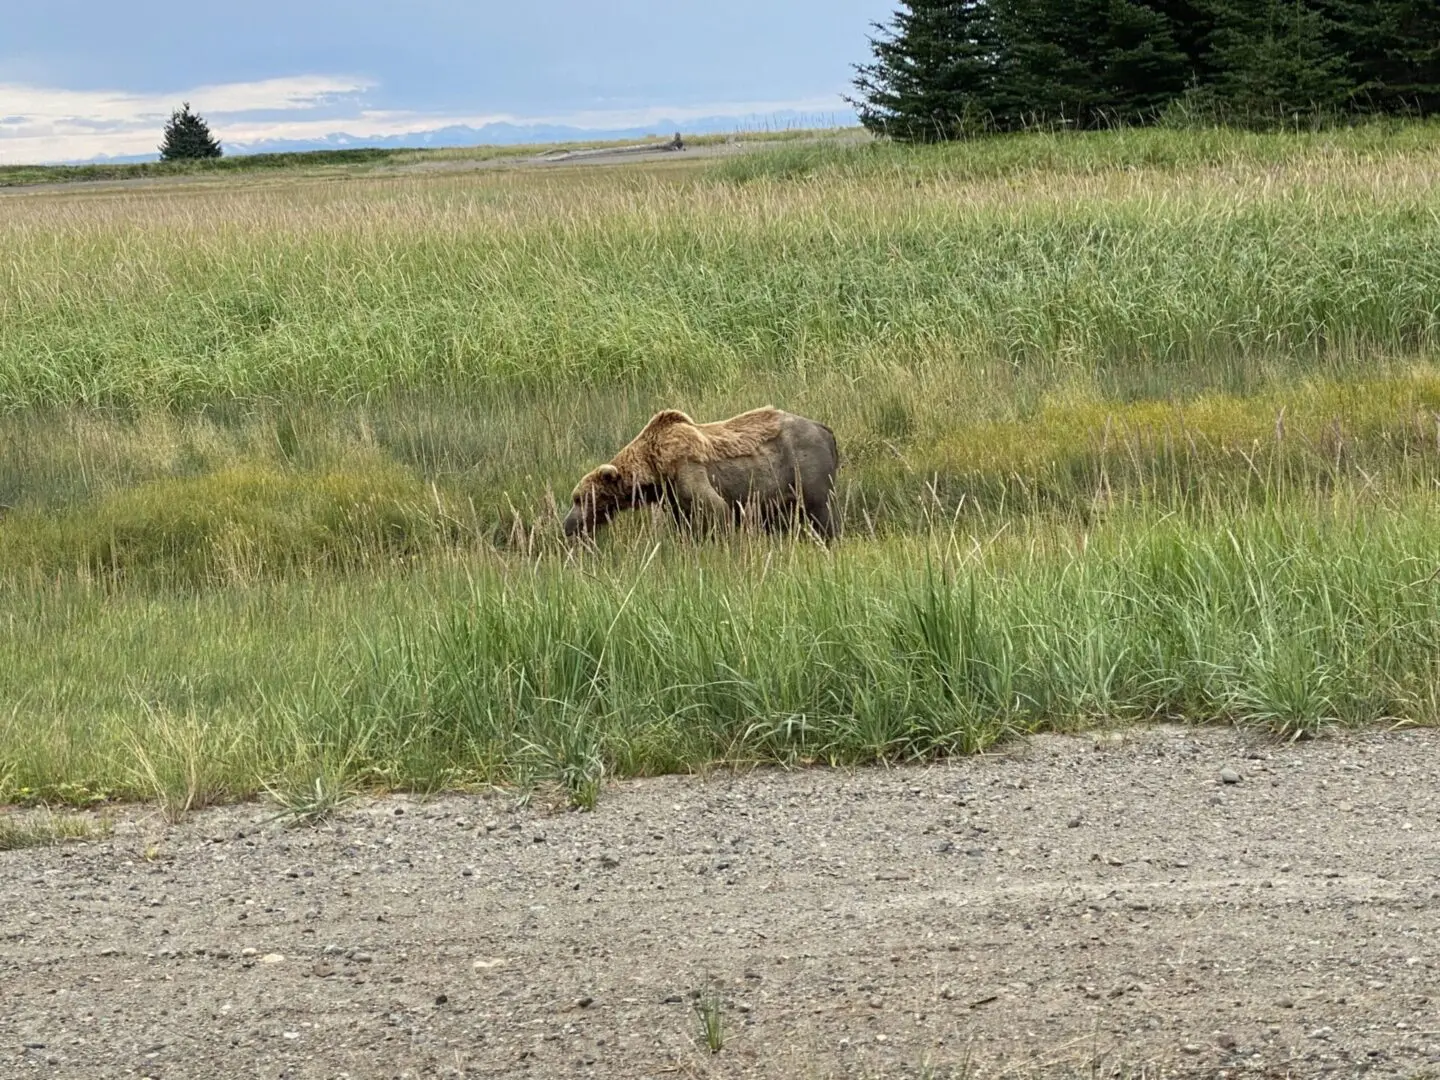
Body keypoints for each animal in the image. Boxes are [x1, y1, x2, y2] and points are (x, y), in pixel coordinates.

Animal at [558, 406, 840, 541]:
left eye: (579, 499)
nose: (567, 525)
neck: (655, 469)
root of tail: (825, 429)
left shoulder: (688, 468)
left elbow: (716, 509)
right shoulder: (673, 496)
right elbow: (684, 521)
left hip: (805, 467)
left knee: (823, 511)